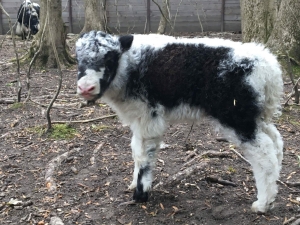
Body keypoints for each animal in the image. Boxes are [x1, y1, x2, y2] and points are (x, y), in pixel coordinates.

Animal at [75, 30, 284, 214]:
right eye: (77, 59)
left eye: (110, 58)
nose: (86, 88)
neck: (130, 66)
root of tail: (268, 67)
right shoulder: (138, 117)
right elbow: (135, 149)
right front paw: (134, 183)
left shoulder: (149, 115)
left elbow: (143, 154)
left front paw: (141, 193)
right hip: (256, 114)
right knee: (275, 141)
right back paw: (273, 192)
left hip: (236, 115)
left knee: (263, 153)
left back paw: (263, 204)